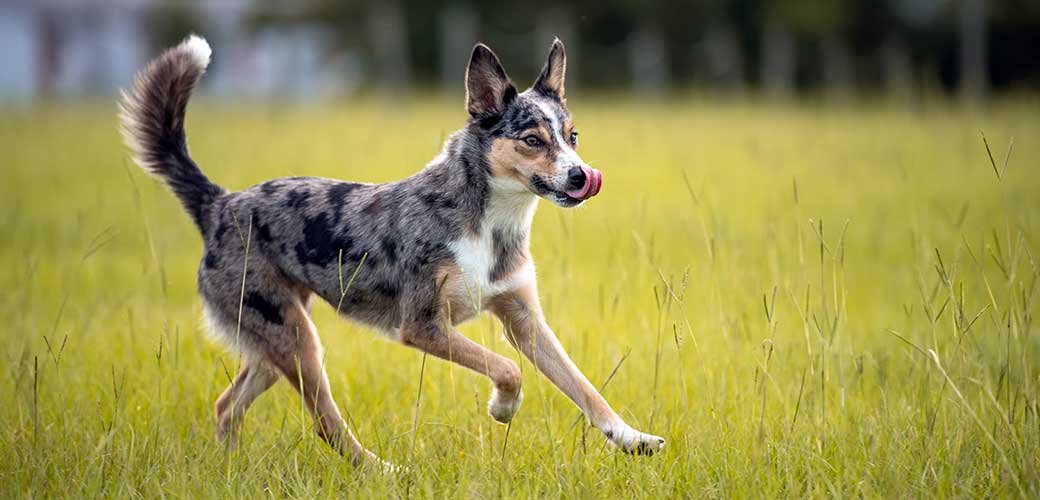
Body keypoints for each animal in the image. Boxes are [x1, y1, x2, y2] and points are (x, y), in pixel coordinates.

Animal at [118, 36, 661, 467]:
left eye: (572, 137)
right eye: (532, 140)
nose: (581, 176)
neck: (488, 224)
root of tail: (219, 203)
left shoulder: (524, 320)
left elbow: (584, 387)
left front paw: (630, 438)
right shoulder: (422, 327)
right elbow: (509, 368)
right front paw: (502, 408)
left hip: (275, 342)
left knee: (227, 406)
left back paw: (233, 469)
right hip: (297, 340)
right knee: (326, 425)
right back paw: (380, 470)